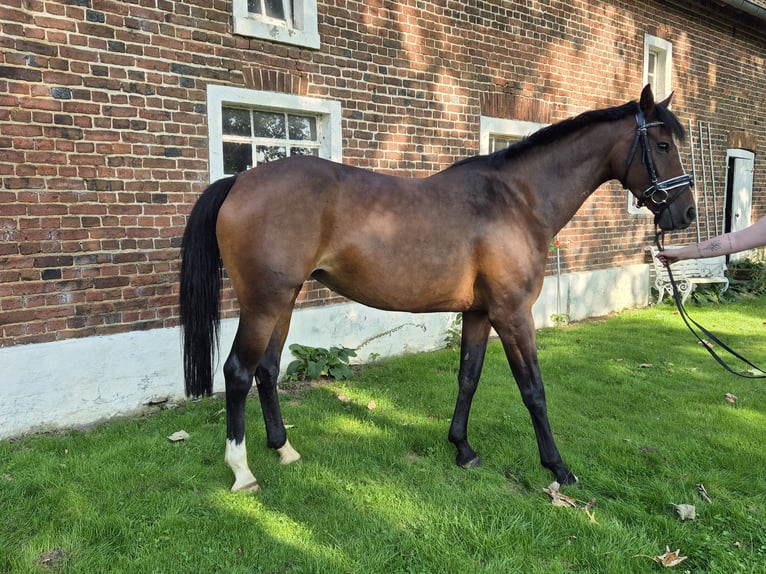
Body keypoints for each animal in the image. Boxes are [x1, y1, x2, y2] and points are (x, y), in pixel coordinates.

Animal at [180, 85, 695, 492]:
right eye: (662, 144)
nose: (685, 213)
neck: (516, 200)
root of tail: (239, 179)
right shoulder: (513, 314)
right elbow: (533, 389)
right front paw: (558, 467)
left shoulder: (479, 313)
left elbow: (468, 376)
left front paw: (462, 448)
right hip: (263, 304)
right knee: (238, 372)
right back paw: (242, 471)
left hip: (284, 301)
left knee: (267, 370)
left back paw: (284, 450)